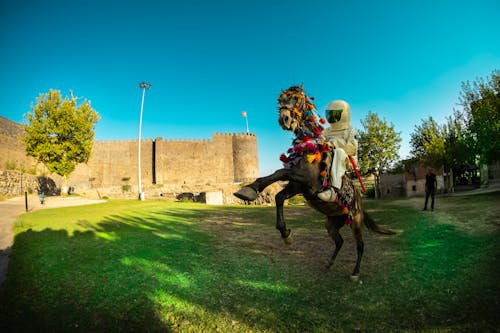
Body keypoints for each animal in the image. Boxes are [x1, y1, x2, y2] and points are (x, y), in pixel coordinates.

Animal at [234, 84, 394, 278]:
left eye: (296, 98)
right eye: (281, 101)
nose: (284, 119)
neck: (308, 146)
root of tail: (359, 201)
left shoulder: (307, 181)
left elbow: (281, 172)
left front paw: (251, 189)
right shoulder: (299, 187)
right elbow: (279, 194)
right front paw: (285, 232)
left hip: (355, 222)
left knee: (360, 245)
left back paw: (355, 272)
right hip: (331, 223)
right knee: (340, 241)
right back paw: (329, 264)